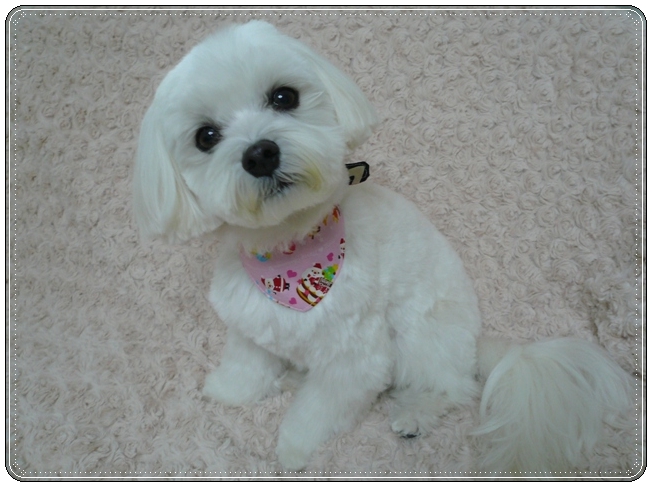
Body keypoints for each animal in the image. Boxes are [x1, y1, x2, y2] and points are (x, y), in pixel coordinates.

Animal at [133, 20, 633, 474]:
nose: (260, 153)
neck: (289, 257)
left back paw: (414, 413)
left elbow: (319, 409)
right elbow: (247, 361)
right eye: (206, 137)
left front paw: (292, 449)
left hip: (419, 333)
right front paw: (230, 390)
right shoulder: (250, 318)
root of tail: (476, 345)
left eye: (284, 97)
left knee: (453, 386)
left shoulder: (354, 358)